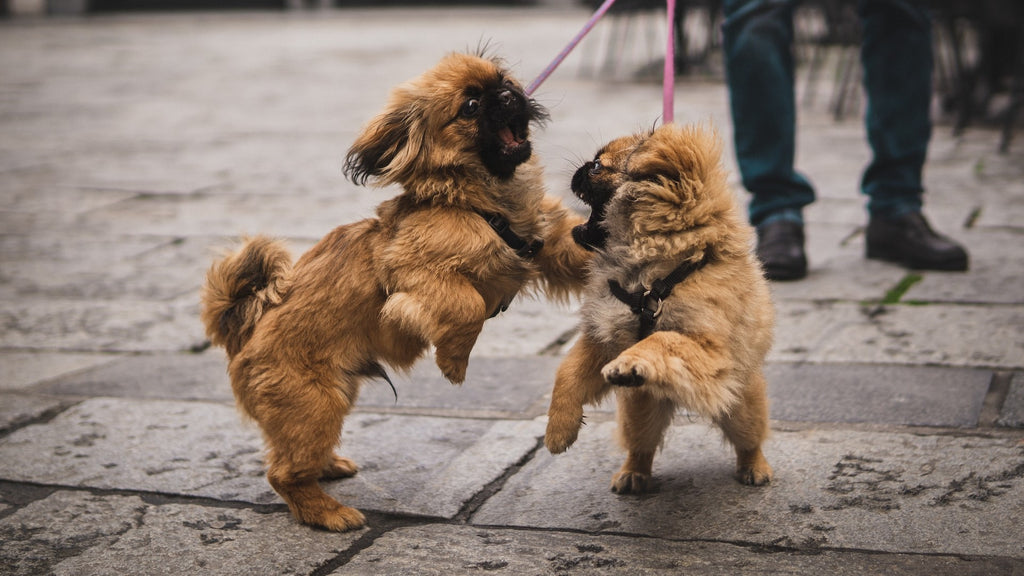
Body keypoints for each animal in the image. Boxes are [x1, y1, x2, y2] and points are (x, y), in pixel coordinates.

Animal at [197, 53, 593, 528]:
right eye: (471, 106)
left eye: (504, 80)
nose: (507, 93)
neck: (481, 202)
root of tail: (244, 334)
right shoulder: (411, 271)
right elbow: (467, 306)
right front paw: (454, 364)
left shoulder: (553, 242)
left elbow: (582, 247)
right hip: (315, 405)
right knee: (282, 473)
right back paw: (328, 513)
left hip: (331, 398)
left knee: (290, 457)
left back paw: (329, 469)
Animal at [548, 123, 770, 491]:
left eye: (597, 167)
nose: (579, 169)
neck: (650, 275)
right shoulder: (602, 338)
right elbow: (566, 374)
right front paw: (558, 429)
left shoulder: (709, 348)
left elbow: (661, 339)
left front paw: (630, 363)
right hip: (638, 412)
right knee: (641, 446)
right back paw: (632, 474)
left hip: (741, 406)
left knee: (749, 439)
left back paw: (755, 468)